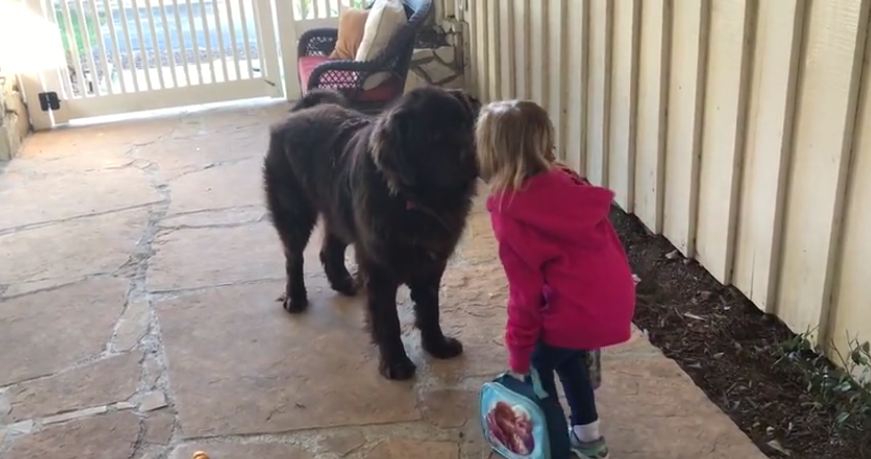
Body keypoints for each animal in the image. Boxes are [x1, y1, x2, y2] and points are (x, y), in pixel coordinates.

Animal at [266, 87, 484, 380]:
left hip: (338, 212)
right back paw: (295, 297)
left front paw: (437, 345)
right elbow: (388, 320)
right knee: (293, 257)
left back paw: (343, 283)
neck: (412, 201)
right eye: (434, 137)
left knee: (329, 250)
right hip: (294, 213)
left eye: (464, 124)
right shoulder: (379, 269)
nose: (474, 156)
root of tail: (299, 113)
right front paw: (396, 364)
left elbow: (430, 310)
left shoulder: (430, 265)